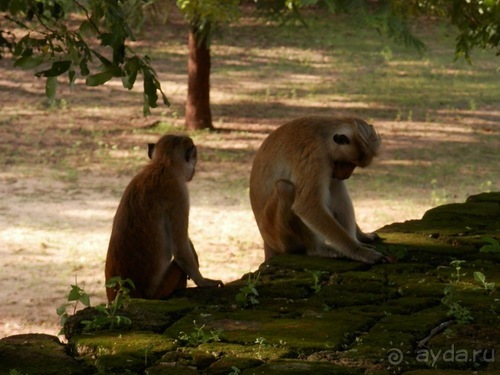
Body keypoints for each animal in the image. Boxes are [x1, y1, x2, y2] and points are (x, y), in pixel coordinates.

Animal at [105, 134, 223, 302]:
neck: (162, 165)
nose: (194, 169)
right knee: (178, 266)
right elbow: (180, 247)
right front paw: (203, 281)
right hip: (160, 291)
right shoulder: (179, 193)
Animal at [250, 116, 386, 266]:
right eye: (349, 163)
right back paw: (317, 249)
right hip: (277, 236)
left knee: (335, 185)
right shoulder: (315, 157)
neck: (324, 138)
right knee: (285, 188)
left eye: (353, 165)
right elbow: (307, 206)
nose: (346, 175)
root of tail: (266, 242)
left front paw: (362, 236)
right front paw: (359, 252)